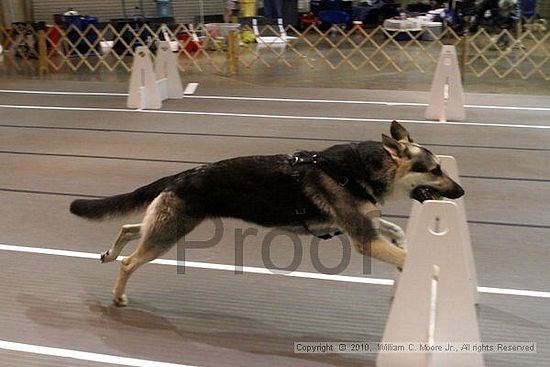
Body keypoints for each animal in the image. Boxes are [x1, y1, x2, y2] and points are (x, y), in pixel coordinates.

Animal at [70, 121, 466, 308]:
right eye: (434, 170)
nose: (462, 193)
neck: (361, 170)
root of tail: (183, 175)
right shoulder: (364, 239)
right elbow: (408, 255)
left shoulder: (362, 224)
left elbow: (396, 233)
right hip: (170, 233)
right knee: (129, 262)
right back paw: (118, 296)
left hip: (166, 226)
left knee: (128, 227)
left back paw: (110, 253)